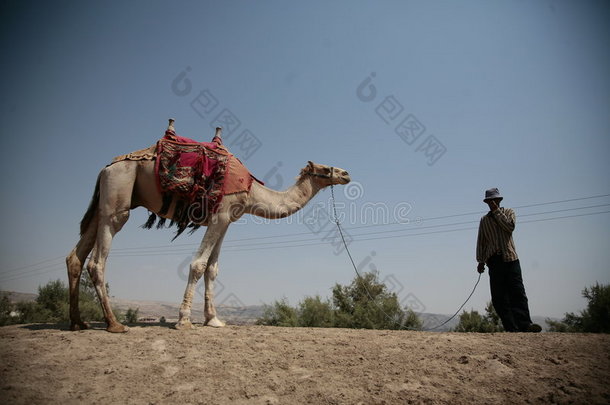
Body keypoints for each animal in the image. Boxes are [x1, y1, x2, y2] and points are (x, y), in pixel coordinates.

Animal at [64, 120, 350, 332]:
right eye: (327, 168)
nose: (346, 173)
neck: (252, 190)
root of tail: (105, 168)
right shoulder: (220, 215)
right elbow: (198, 264)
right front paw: (184, 320)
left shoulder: (226, 220)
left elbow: (213, 269)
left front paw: (213, 319)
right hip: (119, 193)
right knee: (97, 259)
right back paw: (114, 324)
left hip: (105, 203)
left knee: (76, 256)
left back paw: (78, 322)